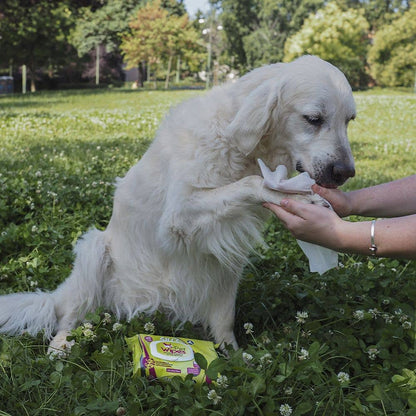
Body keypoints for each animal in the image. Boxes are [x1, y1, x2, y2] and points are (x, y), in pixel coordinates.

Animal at [0, 55, 358, 352]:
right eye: (313, 118)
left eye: (349, 121)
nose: (346, 173)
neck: (238, 143)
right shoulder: (178, 216)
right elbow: (252, 183)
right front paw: (291, 193)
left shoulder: (225, 251)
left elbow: (224, 319)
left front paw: (234, 358)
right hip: (94, 248)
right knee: (69, 317)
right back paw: (60, 348)